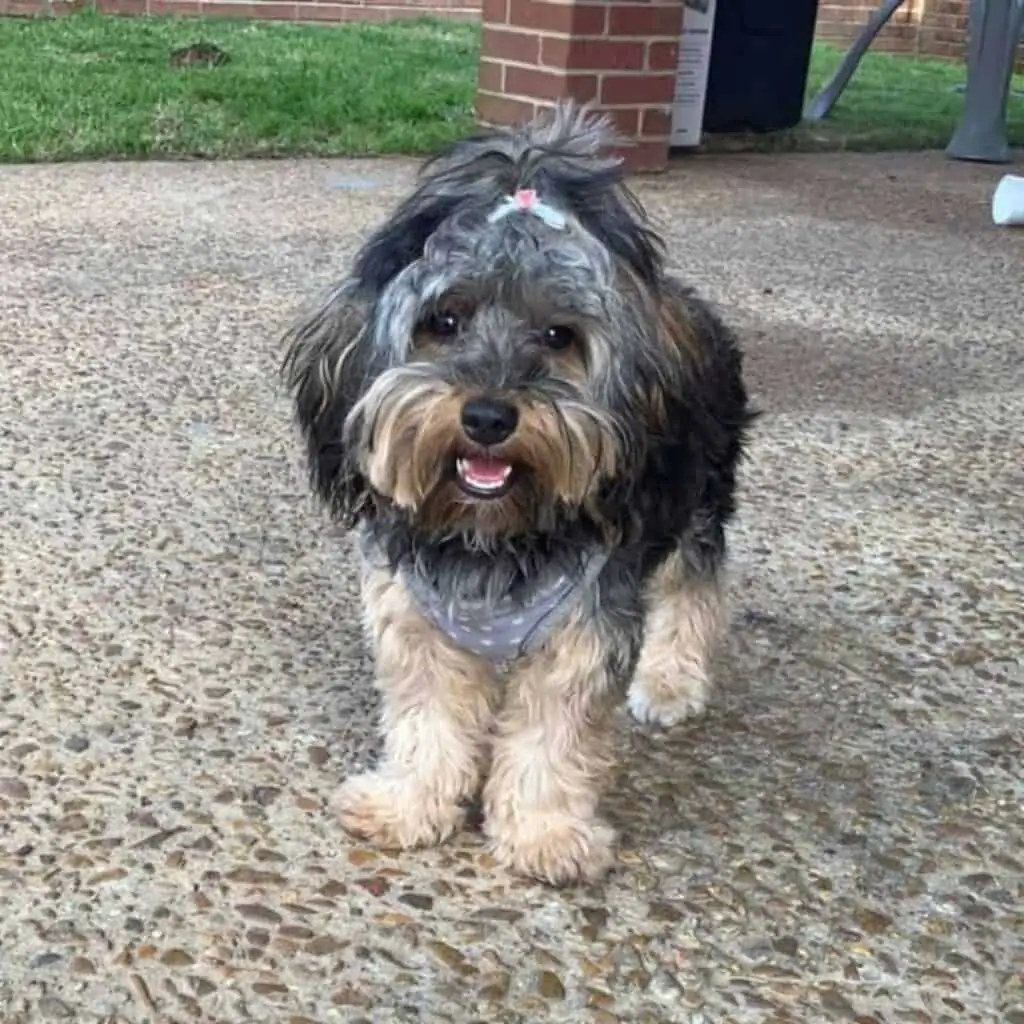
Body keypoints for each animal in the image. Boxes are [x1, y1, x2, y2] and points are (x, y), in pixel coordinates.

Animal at [280, 105, 753, 888]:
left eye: (558, 335)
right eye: (443, 321)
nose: (488, 416)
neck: (493, 534)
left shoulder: (584, 626)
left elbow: (550, 739)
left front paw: (544, 832)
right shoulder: (417, 620)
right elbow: (428, 721)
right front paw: (411, 803)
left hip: (697, 496)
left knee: (694, 587)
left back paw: (670, 681)